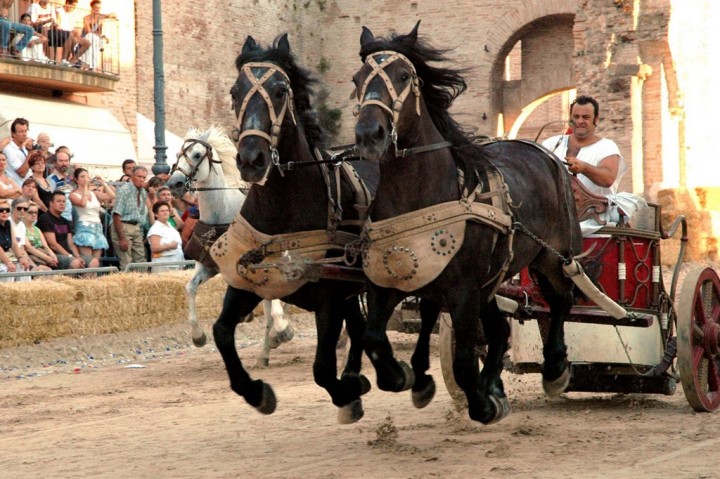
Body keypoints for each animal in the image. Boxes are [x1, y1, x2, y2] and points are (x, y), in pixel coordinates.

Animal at [167, 125, 294, 366]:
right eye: (178, 155)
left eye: (197, 154)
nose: (174, 184)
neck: (222, 215)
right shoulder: (209, 267)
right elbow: (190, 288)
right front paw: (198, 336)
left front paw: (283, 329)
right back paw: (265, 353)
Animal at [211, 33, 442, 424]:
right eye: (235, 90)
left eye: (280, 91)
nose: (251, 159)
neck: (286, 205)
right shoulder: (246, 280)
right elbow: (222, 332)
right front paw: (256, 392)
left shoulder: (330, 294)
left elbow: (321, 368)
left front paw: (350, 391)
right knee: (362, 326)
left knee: (423, 311)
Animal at [354, 21, 584, 424]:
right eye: (357, 79)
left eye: (403, 76)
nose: (369, 133)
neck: (421, 194)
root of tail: (545, 153)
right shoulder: (387, 281)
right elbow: (373, 339)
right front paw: (403, 375)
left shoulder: (462, 291)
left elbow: (463, 360)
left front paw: (481, 403)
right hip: (490, 281)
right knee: (499, 330)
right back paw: (492, 383)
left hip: (553, 258)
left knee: (561, 301)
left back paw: (555, 368)